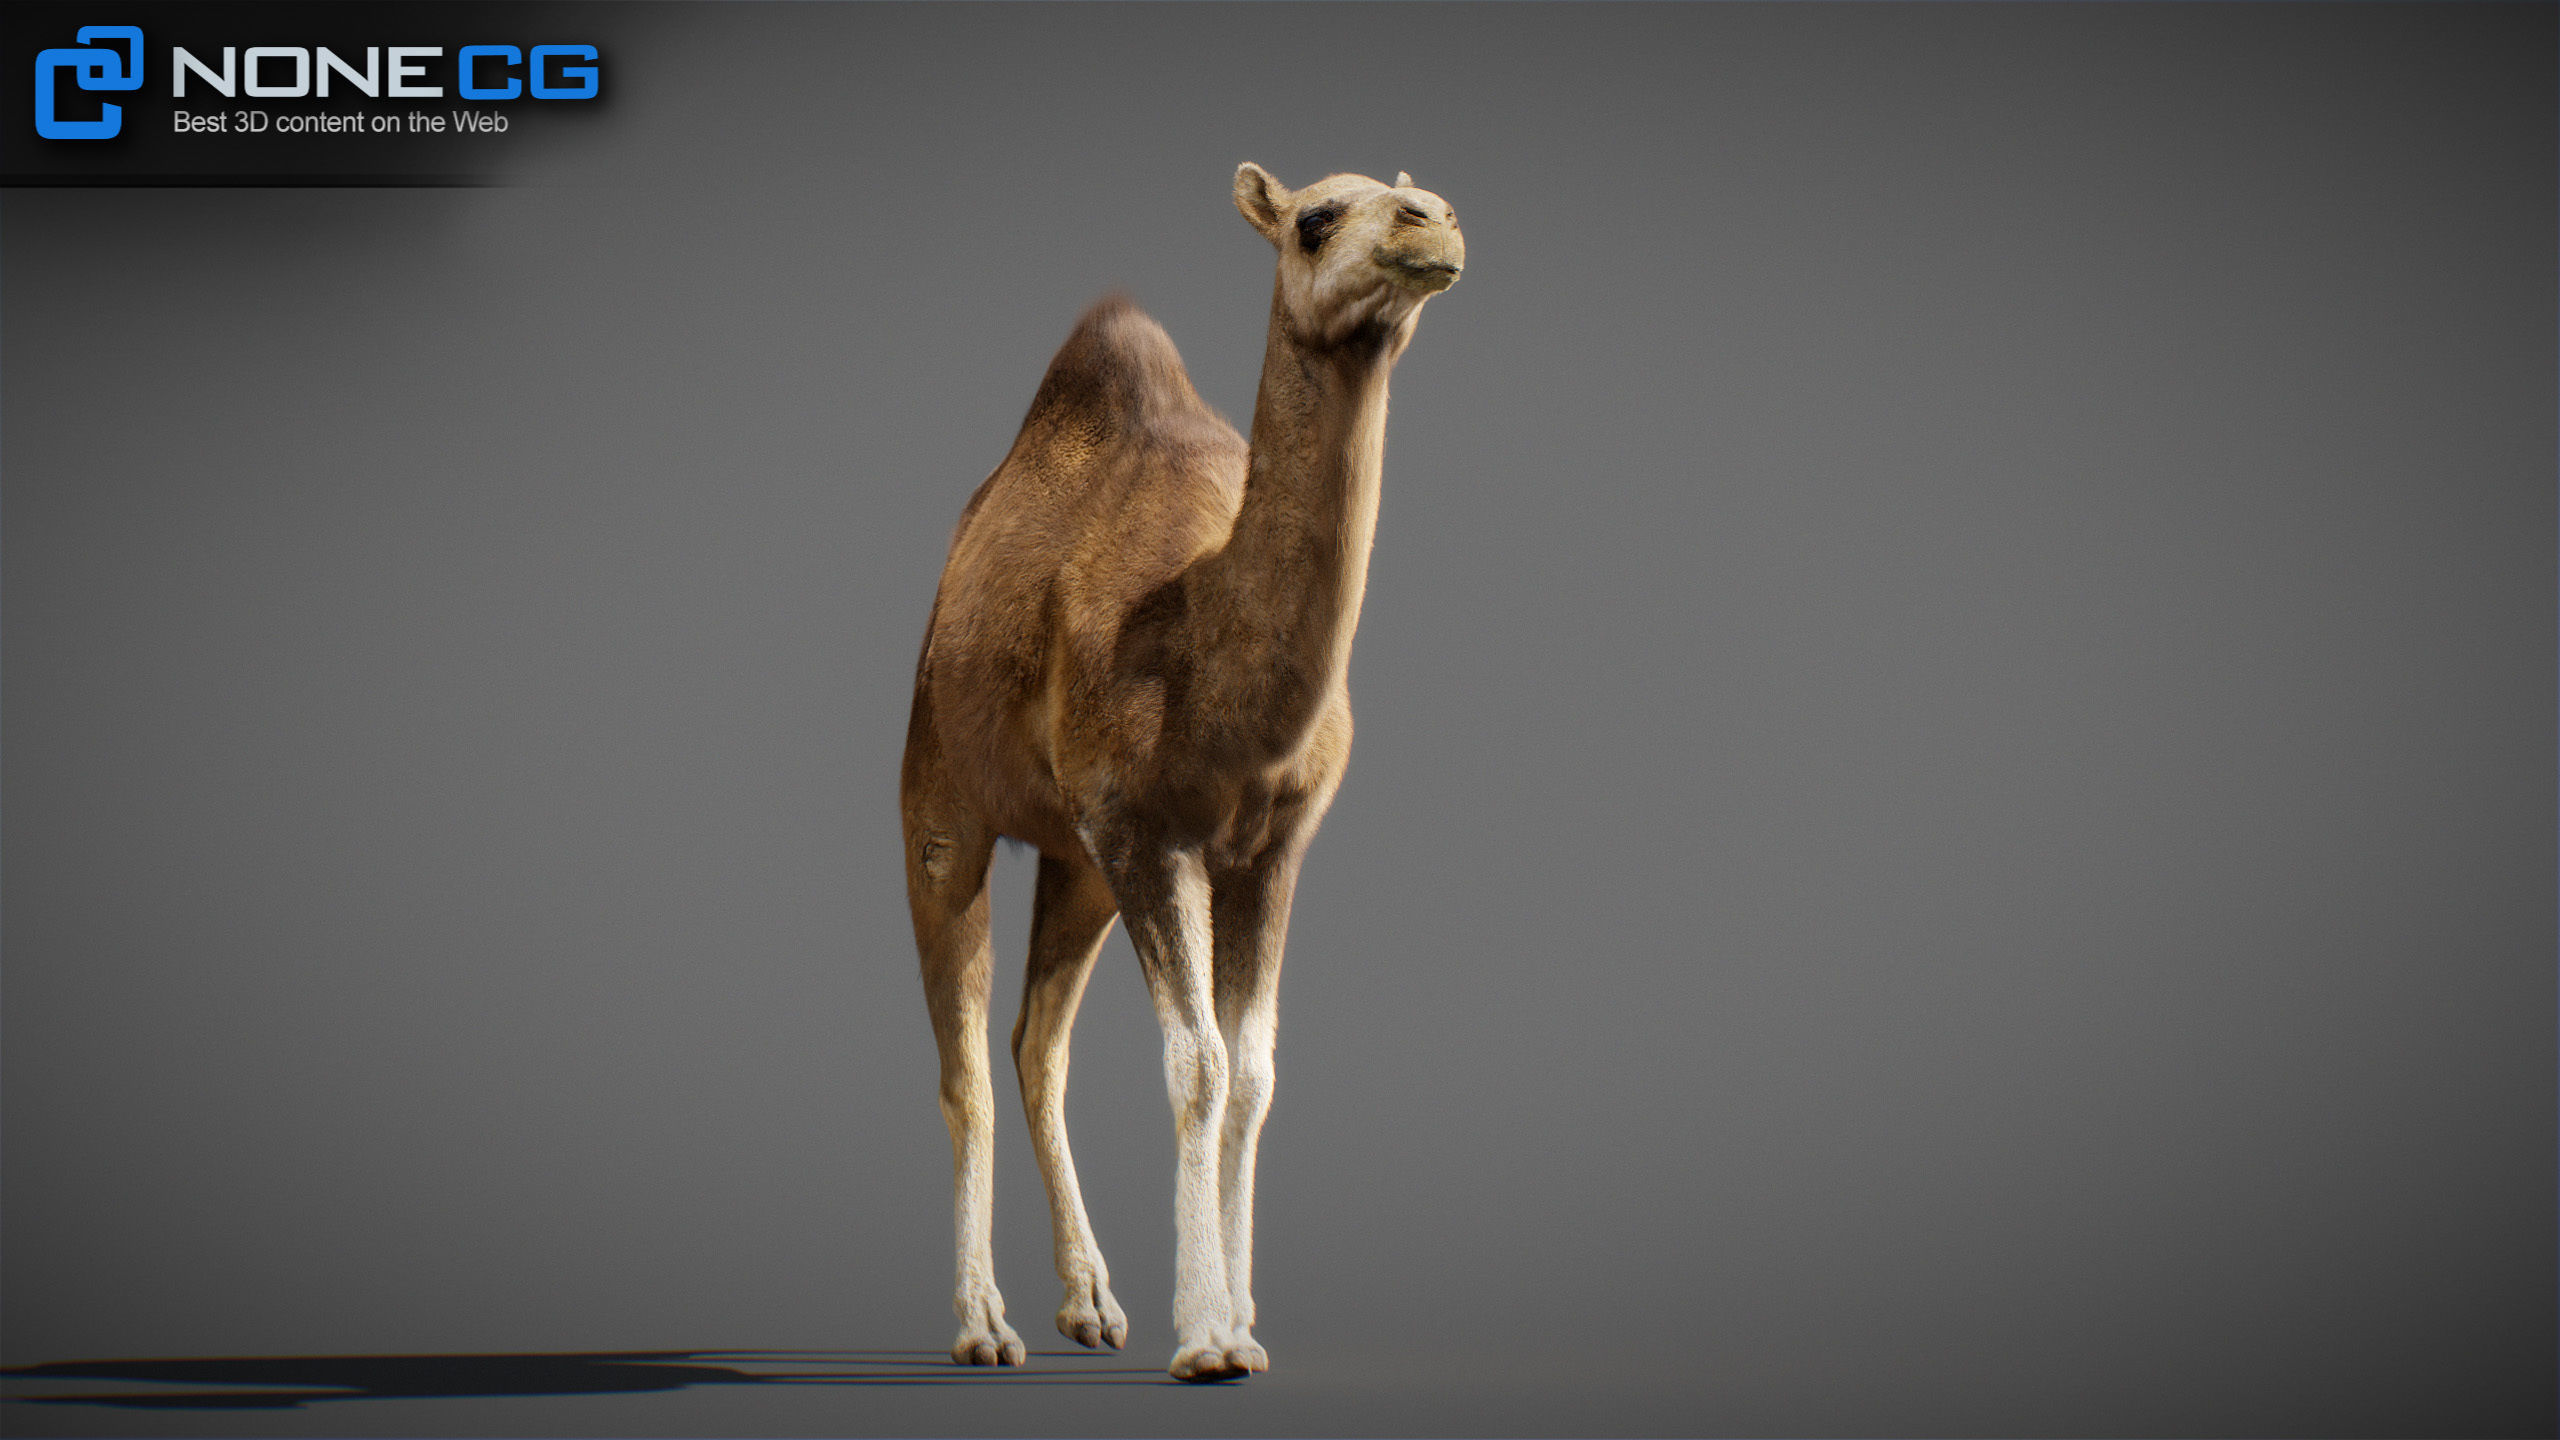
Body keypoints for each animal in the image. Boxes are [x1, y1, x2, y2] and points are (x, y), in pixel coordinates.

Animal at [898, 163, 1463, 1383]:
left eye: (1417, 197)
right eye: (1315, 219)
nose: (1433, 223)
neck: (1201, 636)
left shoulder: (1268, 847)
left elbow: (1251, 1073)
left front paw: (1241, 1323)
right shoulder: (1147, 832)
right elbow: (1196, 1063)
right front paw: (1205, 1337)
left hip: (1078, 865)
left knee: (1036, 1042)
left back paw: (1090, 1305)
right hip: (940, 796)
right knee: (965, 1054)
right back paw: (984, 1325)